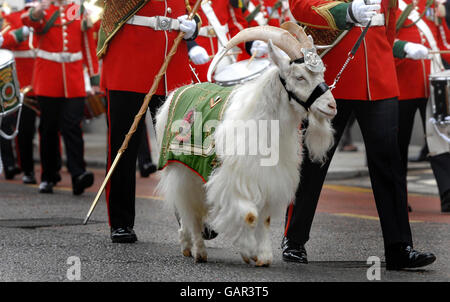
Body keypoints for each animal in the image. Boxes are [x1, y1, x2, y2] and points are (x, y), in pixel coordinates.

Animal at [156, 24, 336, 266]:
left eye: (322, 73)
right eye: (299, 76)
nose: (332, 106)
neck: (263, 122)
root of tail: (178, 92)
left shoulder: (267, 178)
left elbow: (265, 219)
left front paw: (264, 256)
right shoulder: (235, 180)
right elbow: (250, 216)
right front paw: (248, 251)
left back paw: (186, 244)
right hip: (182, 169)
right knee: (190, 209)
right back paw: (198, 250)